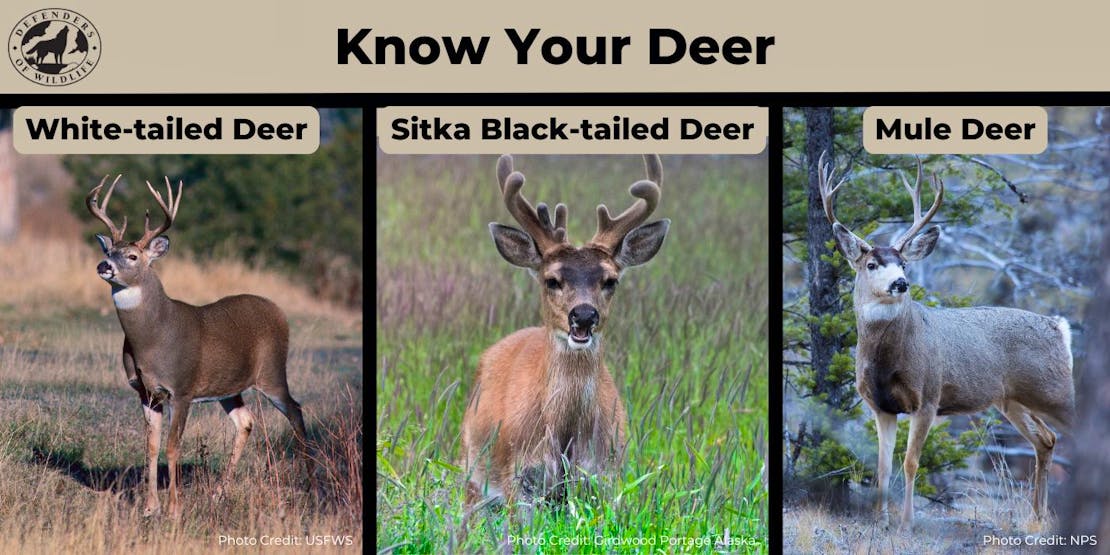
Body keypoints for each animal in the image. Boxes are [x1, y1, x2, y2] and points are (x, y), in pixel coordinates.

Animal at [86, 175, 312, 519]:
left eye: (133, 256)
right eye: (110, 249)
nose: (103, 265)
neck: (153, 339)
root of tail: (279, 311)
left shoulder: (182, 388)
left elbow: (172, 446)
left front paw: (173, 509)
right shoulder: (145, 392)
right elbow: (151, 446)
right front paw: (150, 507)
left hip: (272, 372)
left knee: (295, 411)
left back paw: (310, 483)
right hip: (229, 387)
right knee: (246, 421)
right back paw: (219, 494)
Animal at [460, 154, 669, 513]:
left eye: (610, 280)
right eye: (552, 280)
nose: (583, 315)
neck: (566, 435)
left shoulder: (603, 477)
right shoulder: (521, 480)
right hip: (470, 475)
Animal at [817, 152, 1074, 527]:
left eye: (904, 264)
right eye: (872, 264)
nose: (900, 283)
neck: (887, 362)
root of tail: (1060, 328)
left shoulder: (928, 396)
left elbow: (911, 462)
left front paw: (907, 522)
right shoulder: (880, 405)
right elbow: (881, 466)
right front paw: (881, 520)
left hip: (1056, 391)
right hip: (1012, 400)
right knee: (1046, 439)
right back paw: (1037, 518)